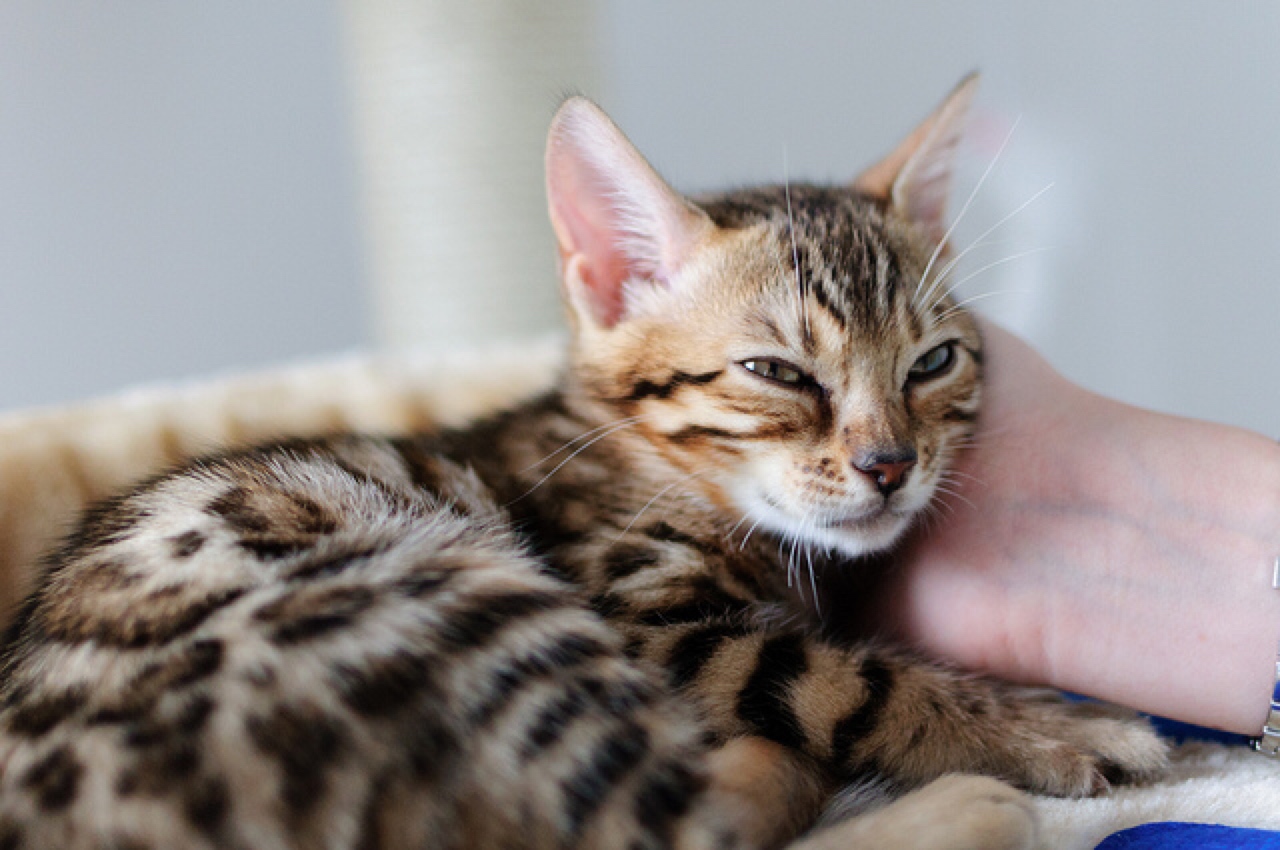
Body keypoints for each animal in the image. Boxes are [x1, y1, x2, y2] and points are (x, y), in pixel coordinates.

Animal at [0, 76, 1172, 844]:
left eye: (932, 363)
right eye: (778, 373)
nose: (890, 464)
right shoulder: (652, 620)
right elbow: (851, 680)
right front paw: (1043, 730)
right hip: (444, 591)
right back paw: (959, 804)